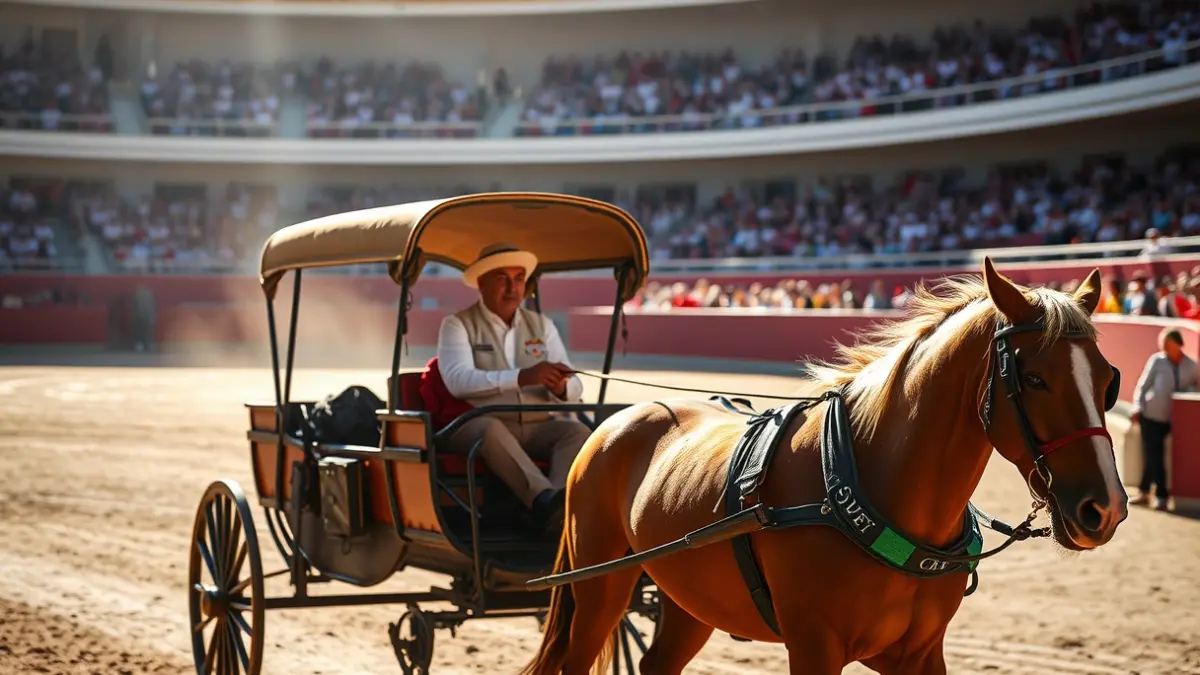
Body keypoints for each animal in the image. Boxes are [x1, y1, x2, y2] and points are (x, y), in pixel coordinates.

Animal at [519, 258, 1129, 675]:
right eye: (1034, 378)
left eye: (1108, 380)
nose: (1105, 508)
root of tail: (617, 421)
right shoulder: (814, 646)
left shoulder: (919, 653)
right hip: (602, 586)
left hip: (688, 598)